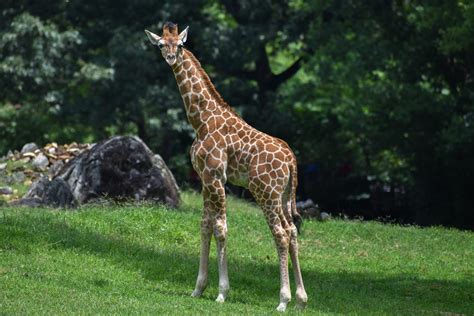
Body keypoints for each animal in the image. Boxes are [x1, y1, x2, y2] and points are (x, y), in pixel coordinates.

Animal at [144, 21, 308, 312]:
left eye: (181, 45)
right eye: (162, 44)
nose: (171, 58)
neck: (201, 121)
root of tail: (291, 160)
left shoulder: (215, 176)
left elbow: (220, 228)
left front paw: (222, 292)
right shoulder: (204, 178)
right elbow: (205, 225)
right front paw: (198, 288)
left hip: (264, 192)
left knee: (280, 233)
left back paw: (283, 300)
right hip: (283, 194)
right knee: (291, 231)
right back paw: (300, 299)